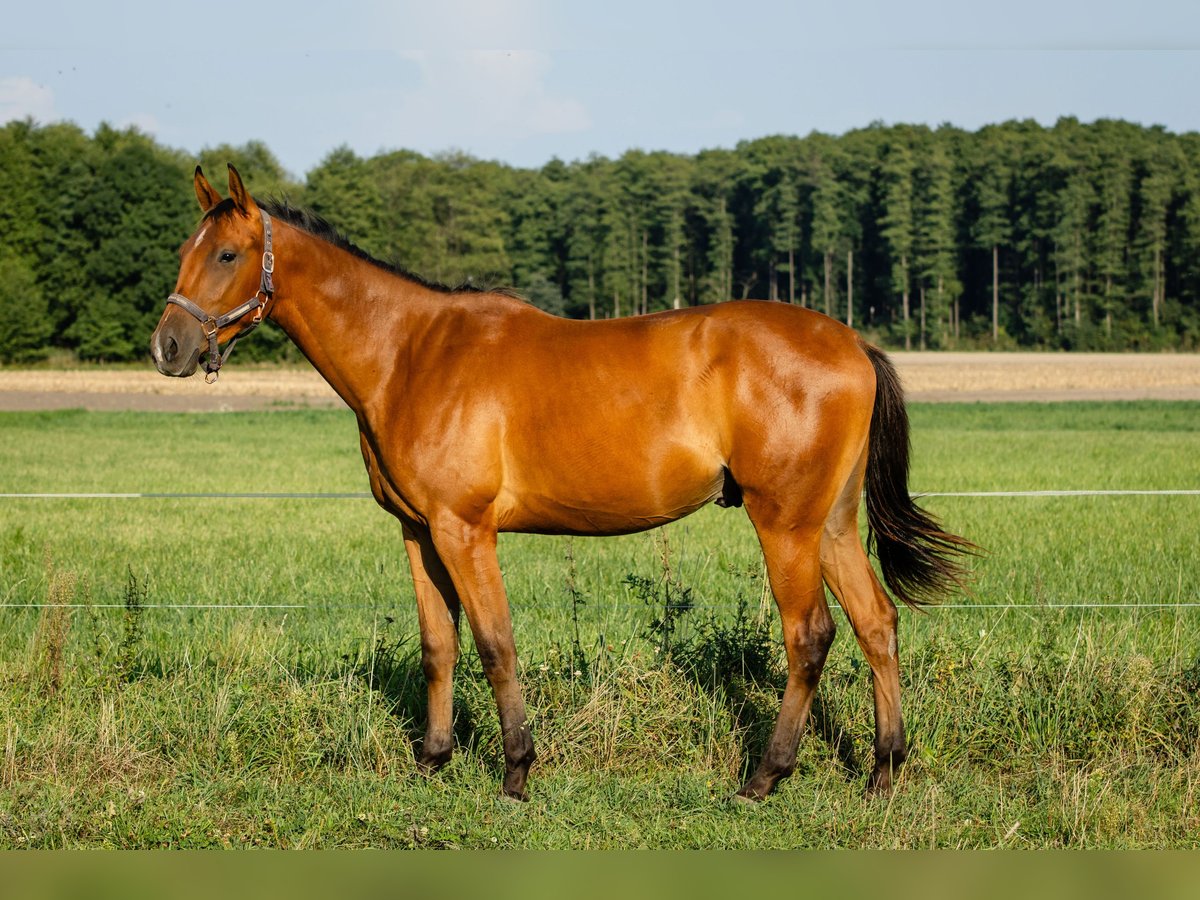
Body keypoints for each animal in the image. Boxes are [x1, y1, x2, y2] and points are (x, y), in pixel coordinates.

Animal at [152, 165, 974, 801]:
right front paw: (432, 761)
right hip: (829, 523)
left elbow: (494, 644)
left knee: (810, 636)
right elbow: (438, 646)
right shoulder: (419, 531)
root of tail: (853, 342)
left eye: (226, 253)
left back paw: (765, 777)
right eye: (186, 251)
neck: (411, 352)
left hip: (786, 525)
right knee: (876, 625)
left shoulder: (464, 530)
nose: (168, 346)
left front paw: (516, 772)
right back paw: (883, 773)